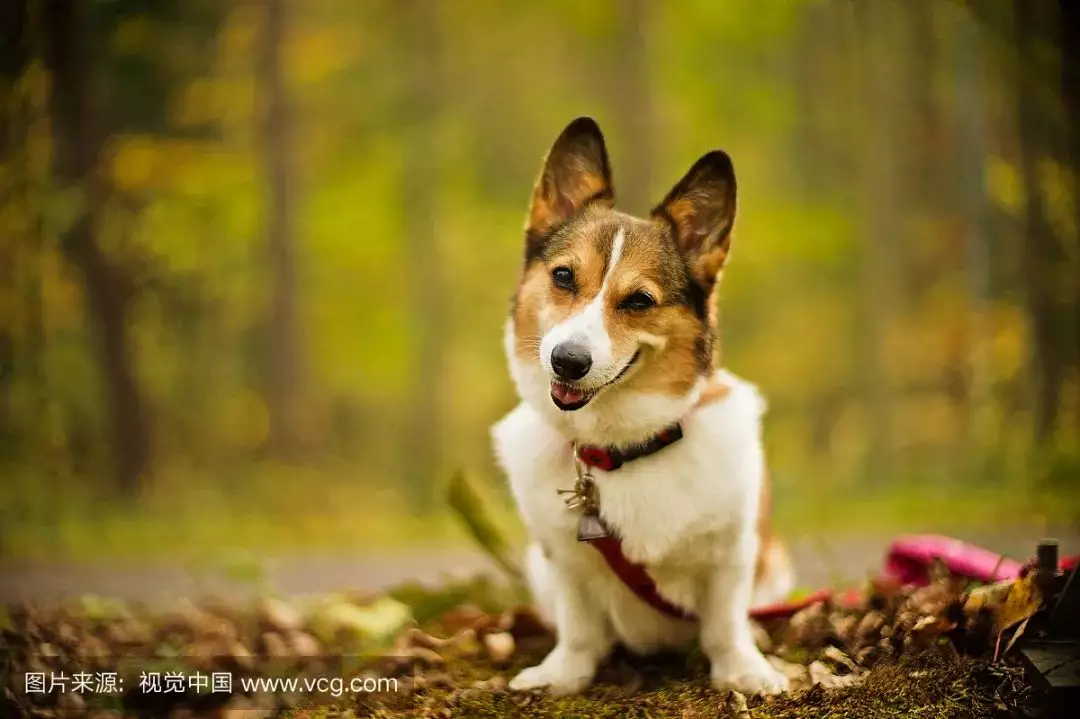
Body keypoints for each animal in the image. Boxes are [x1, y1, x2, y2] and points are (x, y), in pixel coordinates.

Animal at [492, 117, 794, 695]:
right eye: (563, 277)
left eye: (638, 301)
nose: (567, 362)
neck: (621, 444)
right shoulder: (563, 558)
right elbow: (579, 627)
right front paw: (563, 676)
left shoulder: (733, 552)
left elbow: (725, 622)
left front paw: (744, 671)